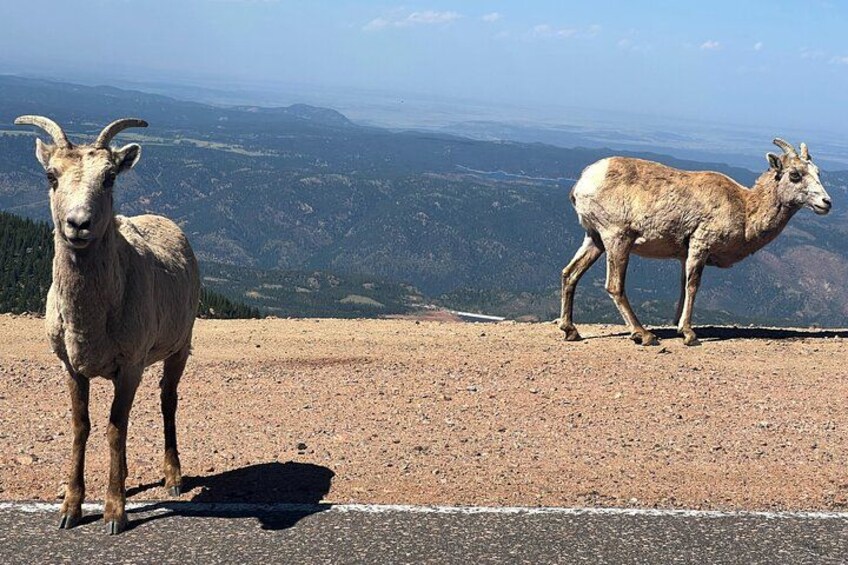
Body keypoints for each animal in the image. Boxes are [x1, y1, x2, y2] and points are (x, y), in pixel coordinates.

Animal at [15, 115, 200, 534]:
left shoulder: (130, 367)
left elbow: (116, 428)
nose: (78, 224)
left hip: (180, 347)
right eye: (51, 175)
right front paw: (70, 510)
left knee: (168, 401)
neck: (92, 321)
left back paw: (174, 478)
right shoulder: (71, 367)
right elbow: (81, 426)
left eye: (110, 177)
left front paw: (115, 513)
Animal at [559, 139, 831, 346]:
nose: (826, 203)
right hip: (617, 239)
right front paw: (689, 335)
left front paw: (678, 325)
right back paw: (645, 335)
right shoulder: (700, 245)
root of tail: (582, 183)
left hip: (594, 240)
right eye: (795, 175)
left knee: (570, 274)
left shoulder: (685, 254)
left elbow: (683, 286)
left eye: (817, 173)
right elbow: (693, 286)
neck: (745, 209)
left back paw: (571, 331)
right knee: (614, 285)